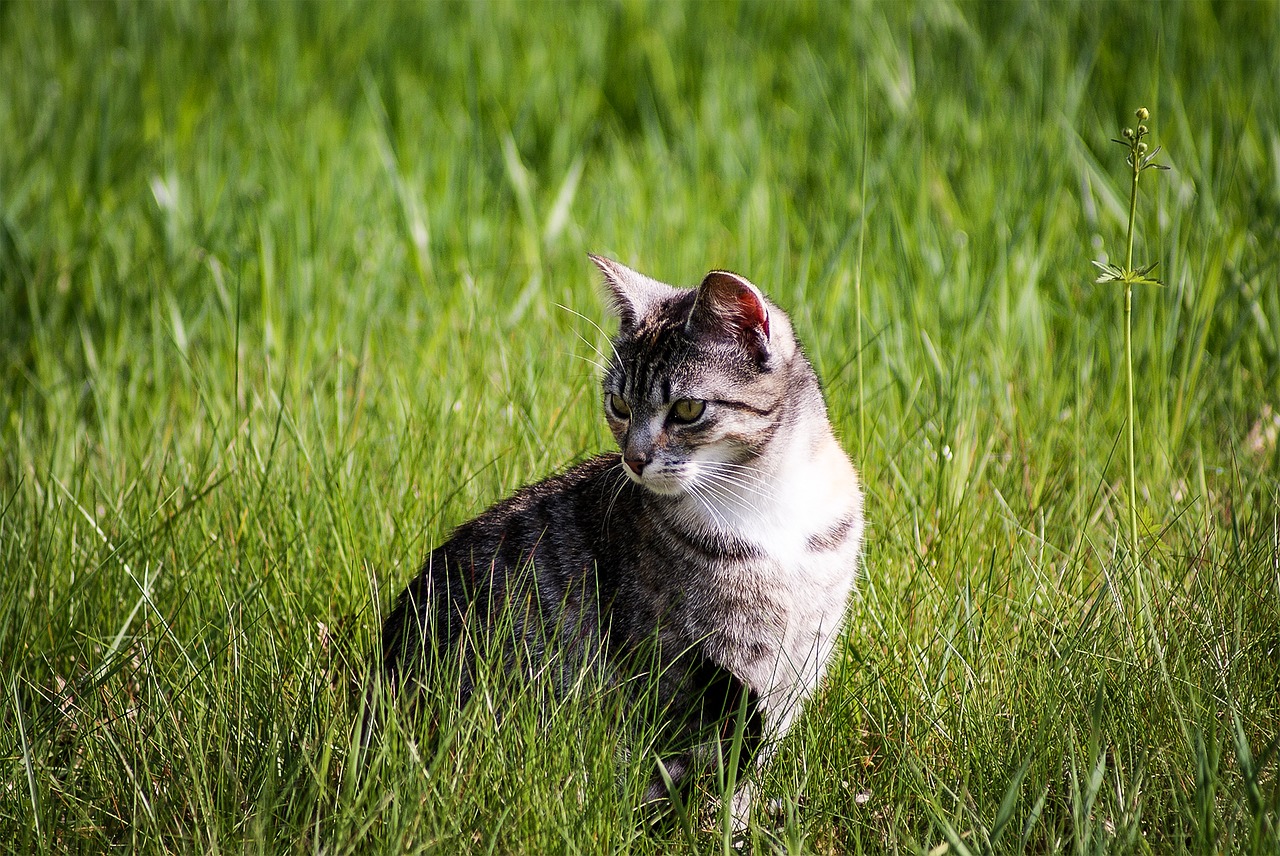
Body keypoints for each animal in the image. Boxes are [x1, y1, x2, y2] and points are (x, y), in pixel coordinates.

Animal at [373, 255, 865, 829]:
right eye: (618, 404)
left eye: (688, 409)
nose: (633, 458)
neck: (769, 502)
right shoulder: (687, 668)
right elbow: (716, 767)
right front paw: (720, 830)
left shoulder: (798, 666)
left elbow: (749, 770)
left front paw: (741, 825)